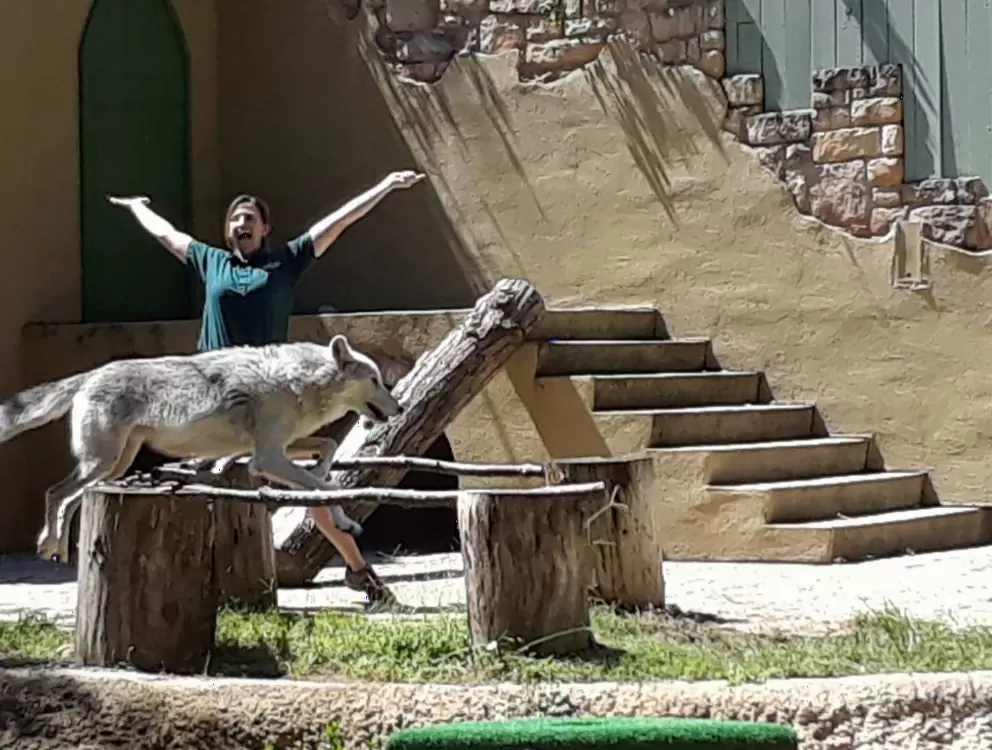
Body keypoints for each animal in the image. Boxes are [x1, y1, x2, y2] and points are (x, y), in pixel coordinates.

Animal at [0, 334, 403, 563]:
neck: (298, 380)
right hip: (102, 463)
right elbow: (325, 487)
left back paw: (57, 549)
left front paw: (323, 477)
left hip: (113, 466)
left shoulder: (278, 449)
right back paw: (49, 544)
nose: (398, 407)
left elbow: (329, 448)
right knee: (56, 494)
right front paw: (344, 519)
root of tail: (91, 374)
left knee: (70, 500)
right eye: (374, 380)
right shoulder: (266, 457)